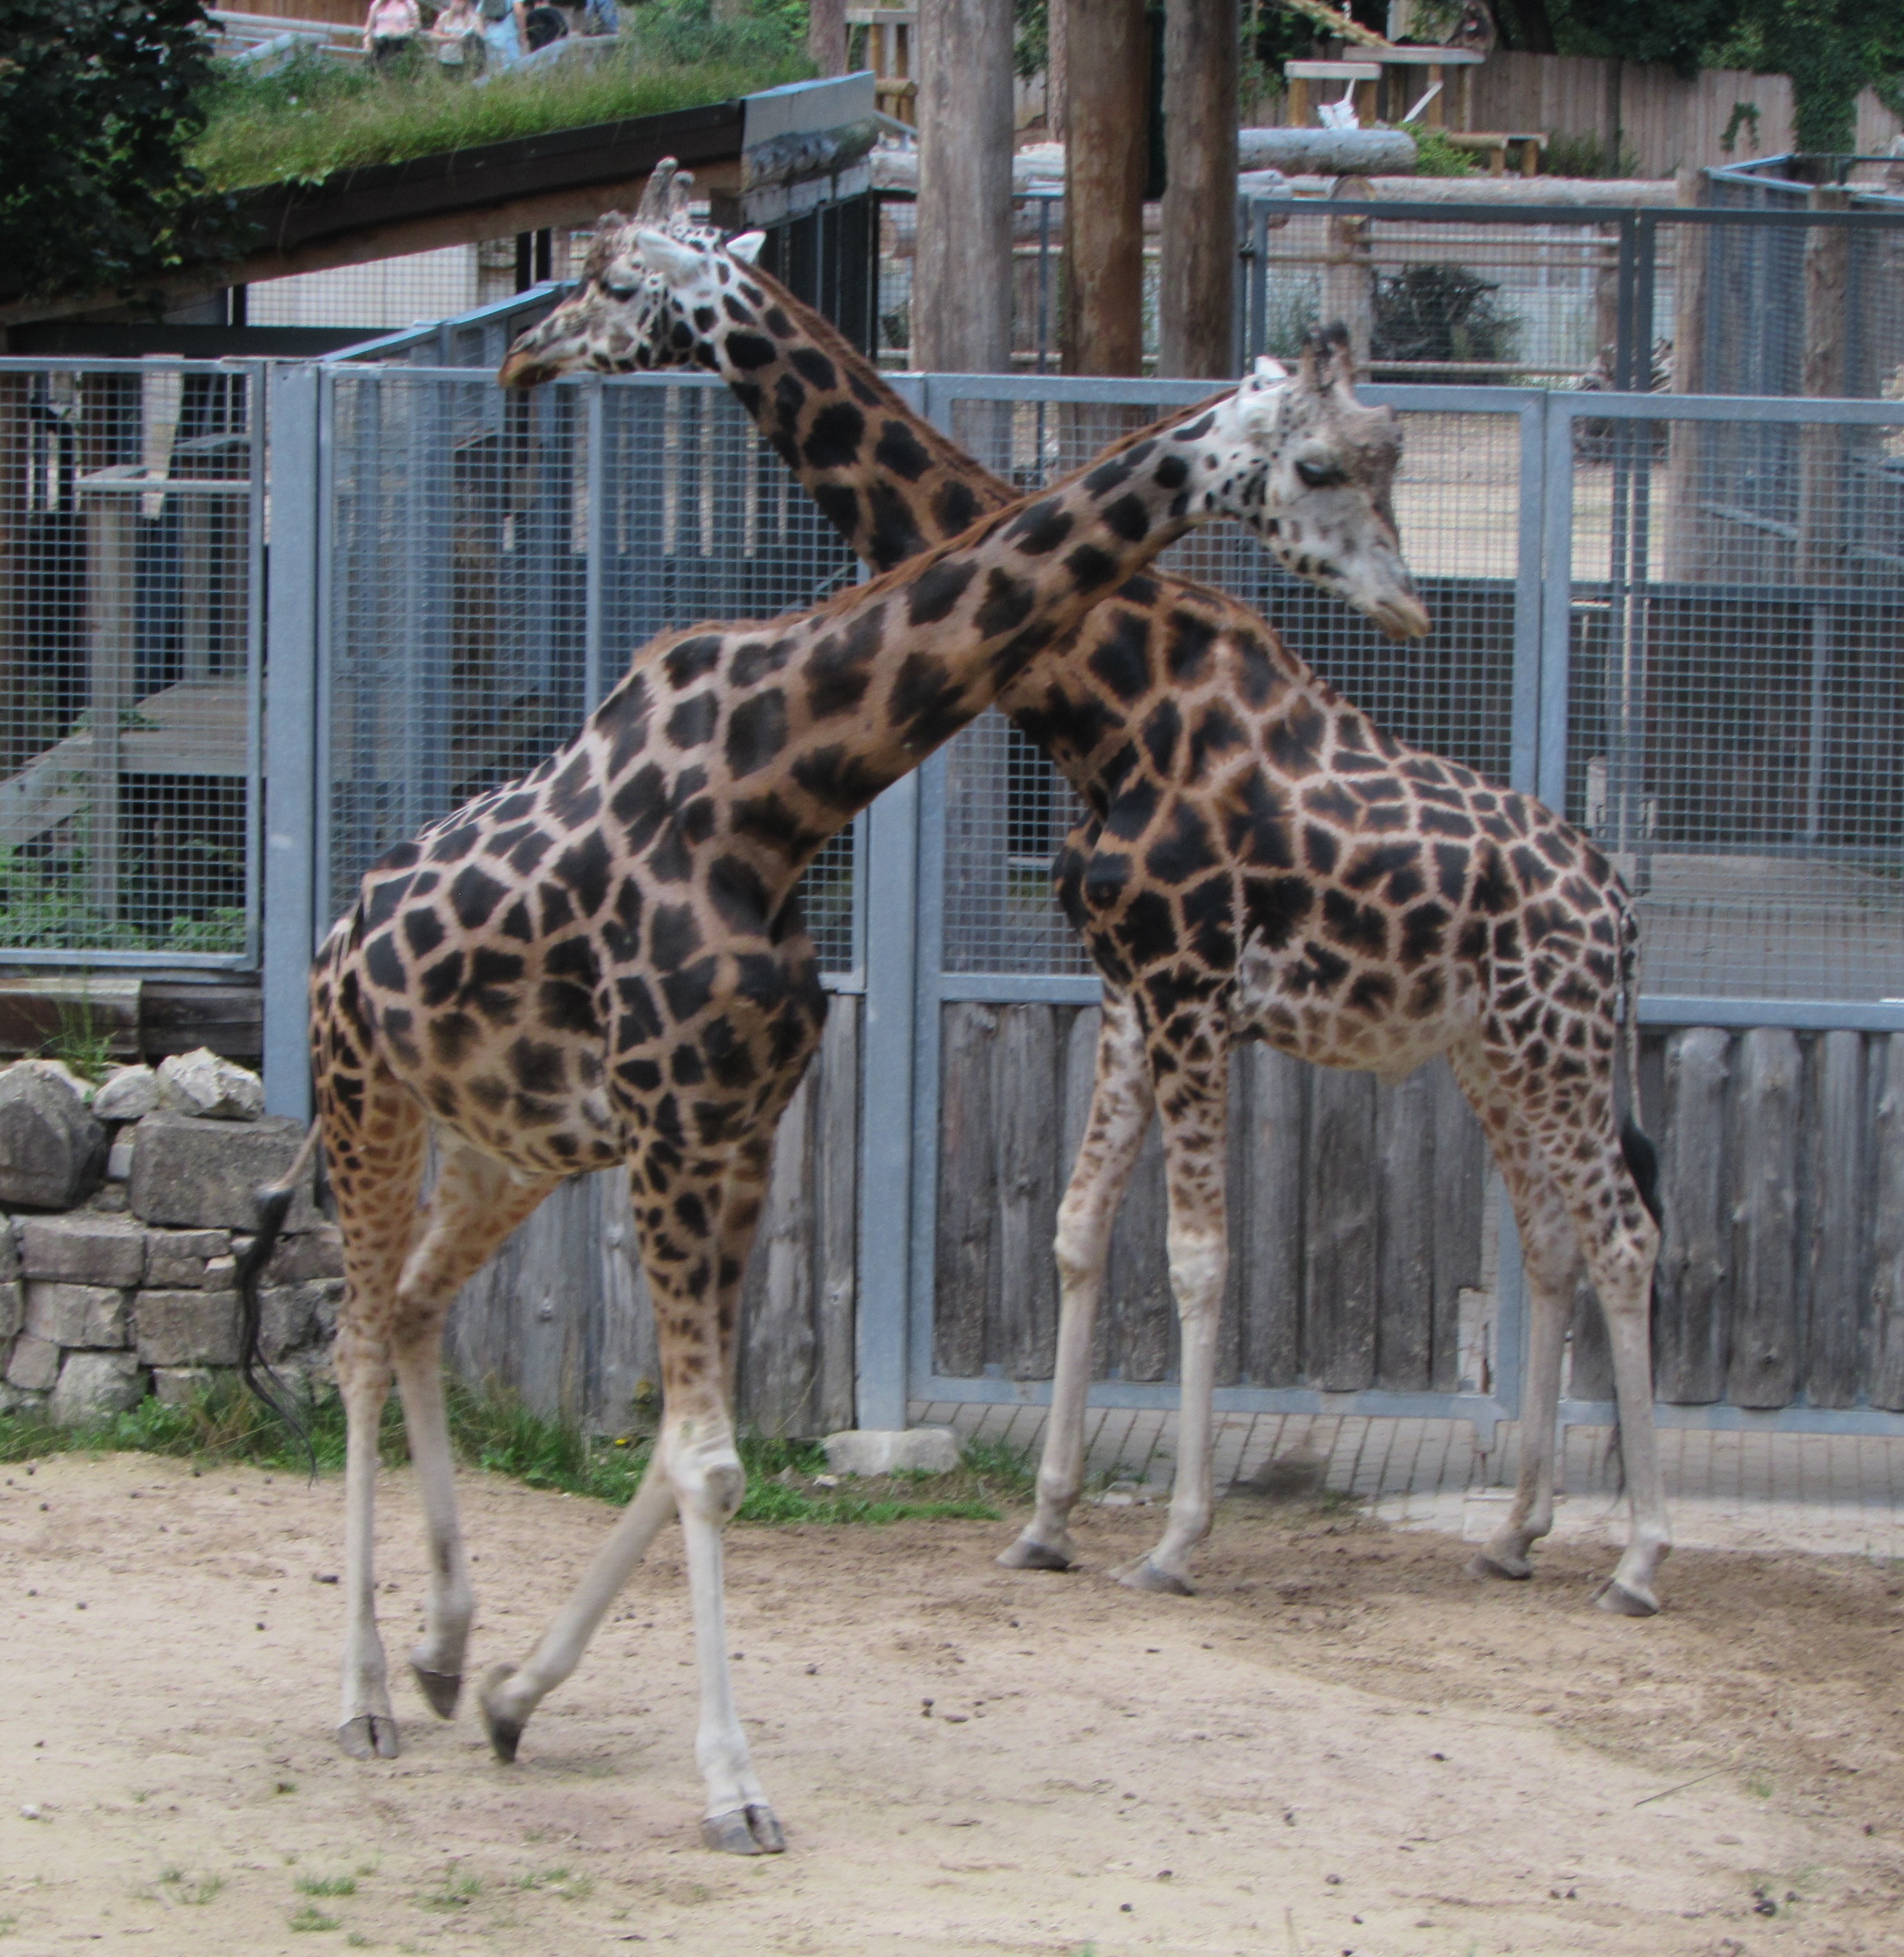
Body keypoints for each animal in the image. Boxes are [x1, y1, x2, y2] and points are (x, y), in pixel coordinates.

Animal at [285, 287, 1427, 1855]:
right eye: (1319, 465)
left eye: (1391, 452)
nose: (1408, 605)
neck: (777, 793)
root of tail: (337, 934)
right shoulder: (673, 1128)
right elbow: (704, 1458)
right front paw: (732, 1788)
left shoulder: (735, 1130)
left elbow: (685, 1448)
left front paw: (519, 1692)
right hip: (366, 1101)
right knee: (347, 1338)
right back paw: (359, 1699)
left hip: (510, 1146)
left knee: (407, 1313)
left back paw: (446, 1652)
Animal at [498, 172, 1675, 1621]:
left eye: (615, 283)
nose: (524, 354)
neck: (1100, 696)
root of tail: (1619, 912)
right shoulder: (1122, 983)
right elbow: (1072, 1232)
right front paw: (1047, 1519)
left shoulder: (1192, 982)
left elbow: (1196, 1254)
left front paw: (1174, 1539)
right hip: (1496, 1051)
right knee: (1554, 1243)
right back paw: (1513, 1532)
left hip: (1554, 1047)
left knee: (1624, 1240)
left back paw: (1636, 1558)